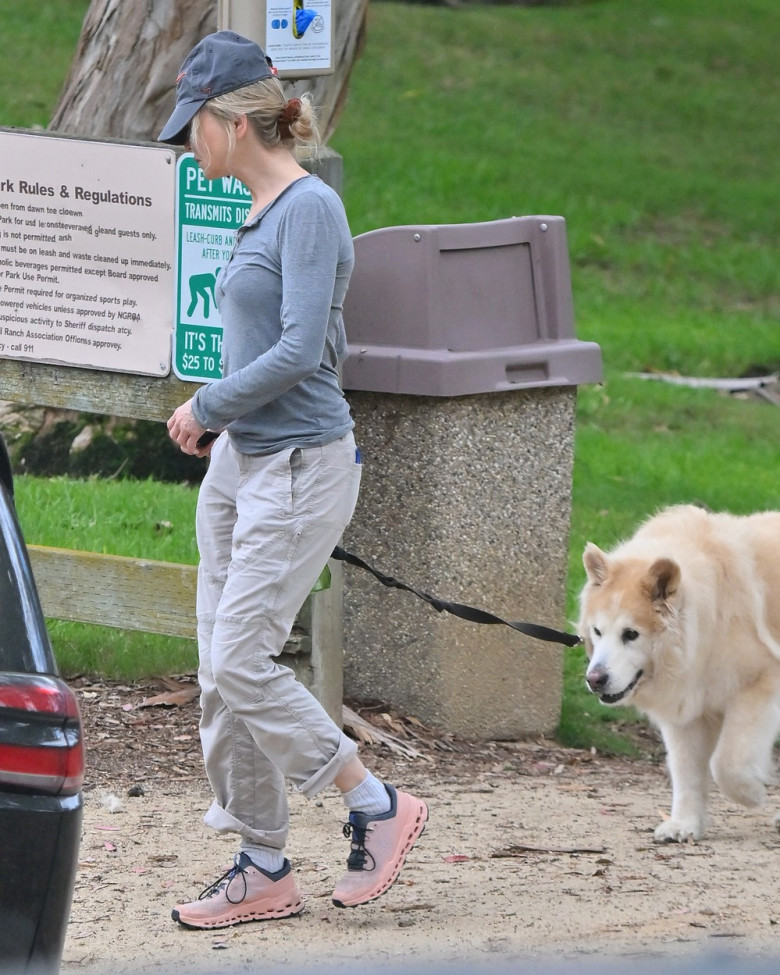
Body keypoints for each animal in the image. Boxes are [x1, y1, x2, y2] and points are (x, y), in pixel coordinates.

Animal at [580, 508, 780, 844]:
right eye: (598, 631)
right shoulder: (684, 710)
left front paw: (751, 794)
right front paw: (684, 824)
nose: (594, 679)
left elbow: (727, 762)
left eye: (630, 634)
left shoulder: (759, 686)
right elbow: (687, 771)